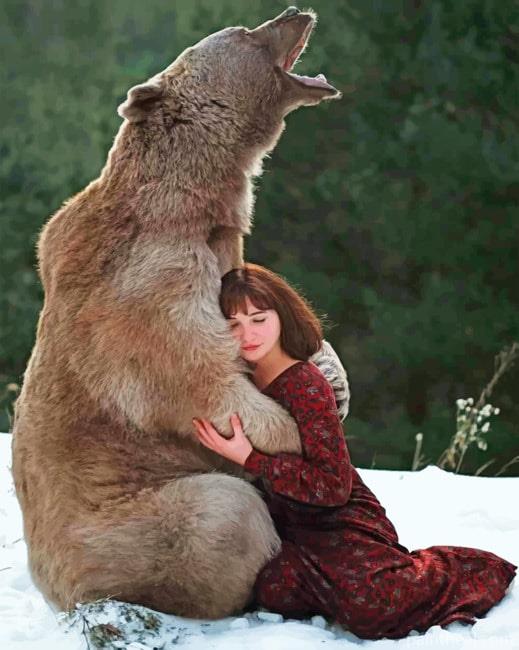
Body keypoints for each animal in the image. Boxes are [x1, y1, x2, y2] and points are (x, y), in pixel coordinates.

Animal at [11, 7, 343, 619]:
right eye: (246, 32)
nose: (296, 11)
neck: (196, 204)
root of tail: (58, 594)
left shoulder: (222, 253)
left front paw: (329, 372)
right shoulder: (147, 284)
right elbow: (201, 377)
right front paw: (298, 427)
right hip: (125, 527)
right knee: (222, 513)